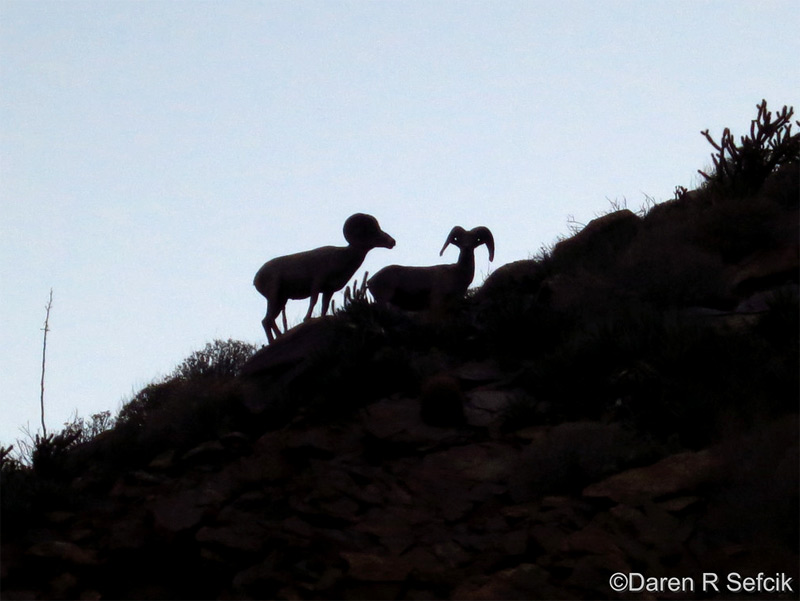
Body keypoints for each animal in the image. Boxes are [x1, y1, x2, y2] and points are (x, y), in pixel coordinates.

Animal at [255, 213, 396, 340]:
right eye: (372, 231)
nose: (392, 242)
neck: (341, 258)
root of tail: (256, 279)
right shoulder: (317, 283)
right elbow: (313, 301)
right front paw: (307, 318)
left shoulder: (329, 291)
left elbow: (324, 306)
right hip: (274, 297)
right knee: (267, 320)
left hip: (281, 300)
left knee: (268, 320)